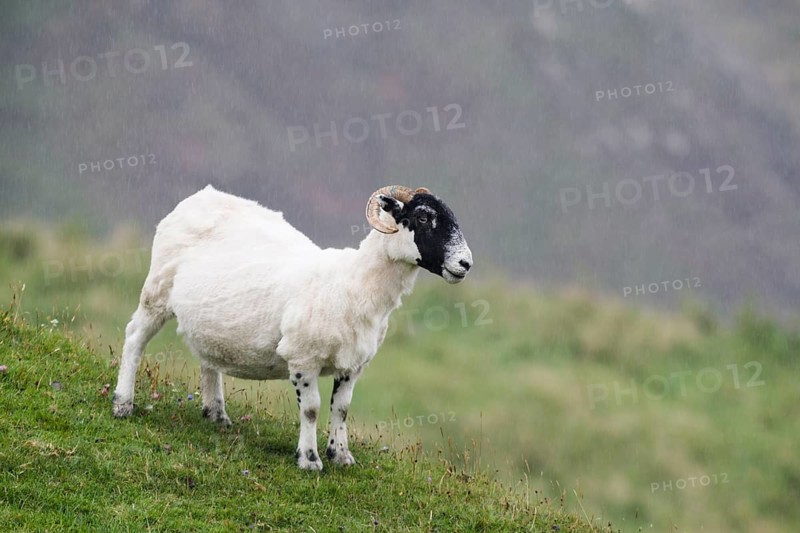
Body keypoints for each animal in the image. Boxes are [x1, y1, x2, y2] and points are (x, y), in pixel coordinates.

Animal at [112, 184, 472, 470]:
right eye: (423, 218)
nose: (466, 263)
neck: (352, 284)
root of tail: (202, 196)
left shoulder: (353, 365)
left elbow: (341, 410)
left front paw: (341, 456)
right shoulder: (302, 358)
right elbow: (311, 410)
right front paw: (309, 460)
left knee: (208, 360)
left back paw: (217, 415)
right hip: (156, 291)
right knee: (134, 338)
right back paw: (122, 404)